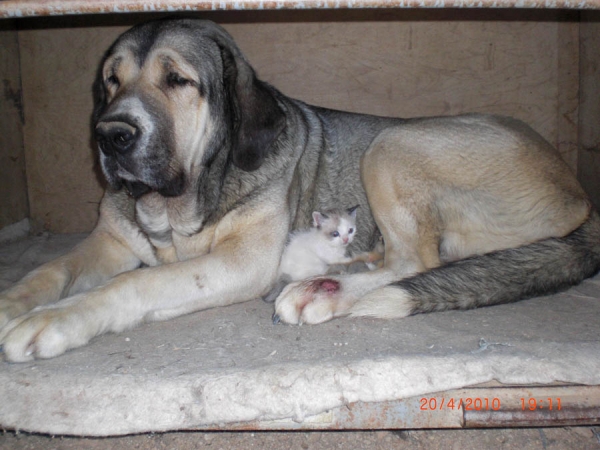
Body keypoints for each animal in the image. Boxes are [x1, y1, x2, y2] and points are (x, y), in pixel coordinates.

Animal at [1, 18, 600, 362]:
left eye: (177, 80)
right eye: (111, 79)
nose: (111, 134)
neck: (175, 209)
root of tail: (579, 193)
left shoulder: (241, 262)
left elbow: (131, 284)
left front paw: (55, 320)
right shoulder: (109, 241)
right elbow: (50, 271)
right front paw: (15, 303)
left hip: (392, 141)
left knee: (415, 262)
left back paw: (319, 292)